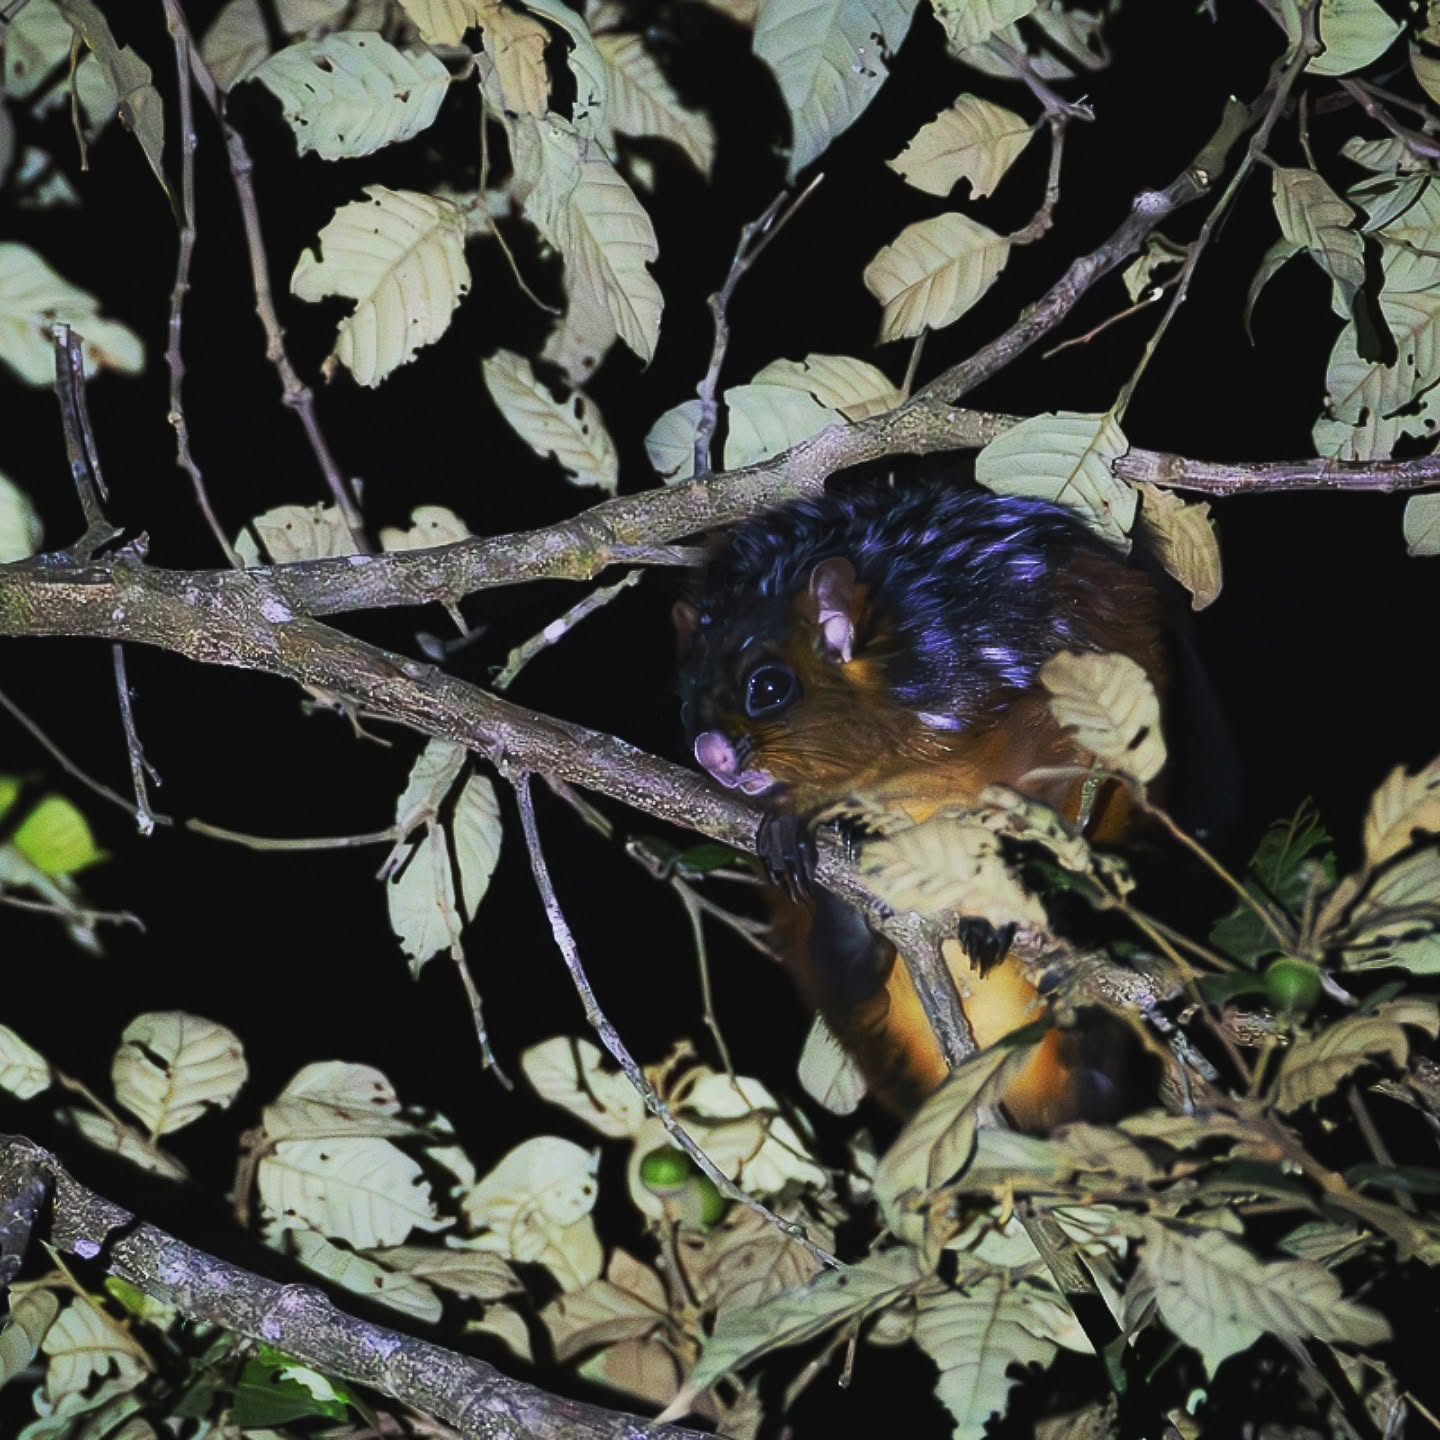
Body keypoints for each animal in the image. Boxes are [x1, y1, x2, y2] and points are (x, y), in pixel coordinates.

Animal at [675, 478, 1177, 1131]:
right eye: (688, 700)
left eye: (768, 686)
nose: (708, 754)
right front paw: (794, 823)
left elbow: (1046, 788)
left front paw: (992, 912)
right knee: (847, 977)